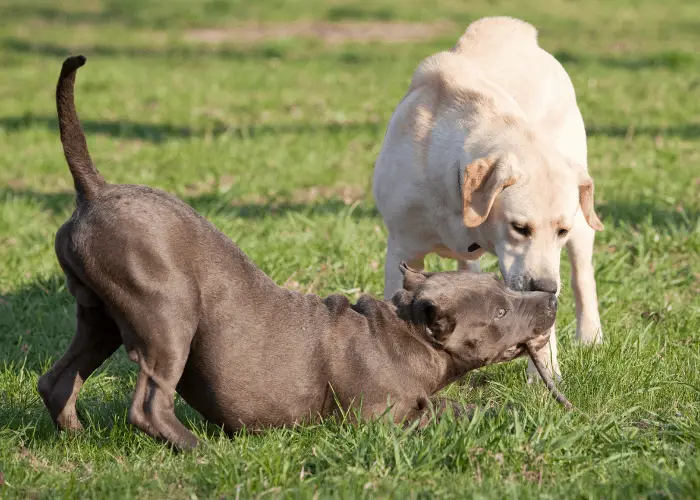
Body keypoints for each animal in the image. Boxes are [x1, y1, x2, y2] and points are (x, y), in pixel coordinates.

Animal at [38, 56, 572, 452]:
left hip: (99, 316)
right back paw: (199, 450)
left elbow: (457, 405)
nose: (550, 300)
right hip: (167, 316)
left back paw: (77, 437)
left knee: (58, 380)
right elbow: (435, 412)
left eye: (504, 290)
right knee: (148, 403)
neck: (406, 336)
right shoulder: (379, 419)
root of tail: (95, 191)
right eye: (499, 311)